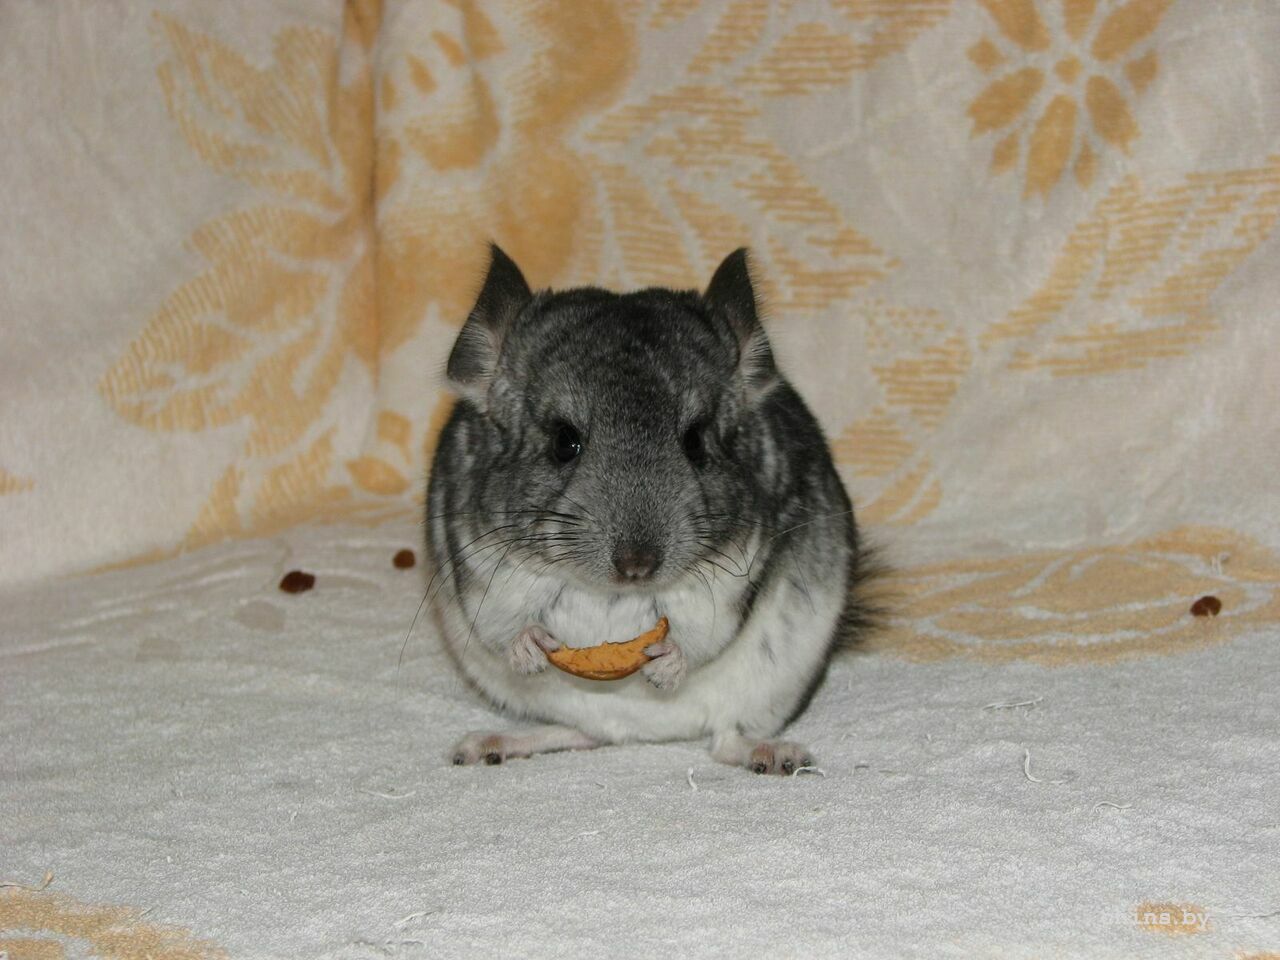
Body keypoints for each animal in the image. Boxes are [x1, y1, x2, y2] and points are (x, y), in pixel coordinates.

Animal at [426, 245, 872, 774]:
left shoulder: (734, 580)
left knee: (725, 738)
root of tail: (640, 732)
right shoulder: (478, 570)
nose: (637, 566)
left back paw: (774, 755)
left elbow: (703, 635)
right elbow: (501, 625)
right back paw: (491, 743)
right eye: (563, 442)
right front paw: (528, 647)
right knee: (580, 734)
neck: (611, 595)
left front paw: (668, 665)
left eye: (696, 441)